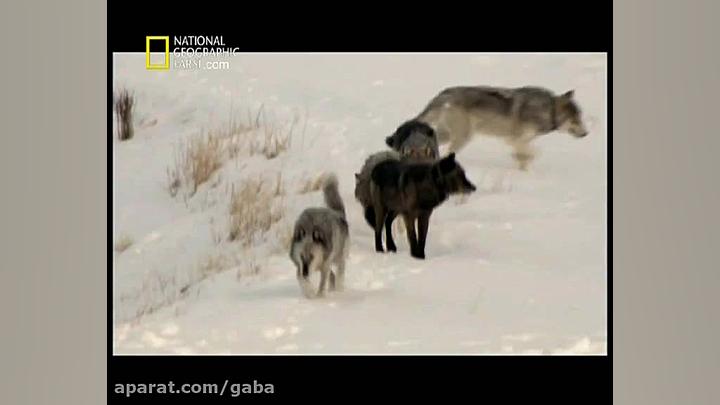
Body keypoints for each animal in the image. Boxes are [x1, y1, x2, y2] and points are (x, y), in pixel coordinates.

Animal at [389, 86, 590, 170]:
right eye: (576, 120)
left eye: (581, 117)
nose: (586, 133)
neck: (548, 109)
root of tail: (444, 92)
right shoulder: (515, 139)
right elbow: (530, 153)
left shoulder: (519, 140)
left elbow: (525, 155)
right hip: (462, 136)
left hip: (446, 134)